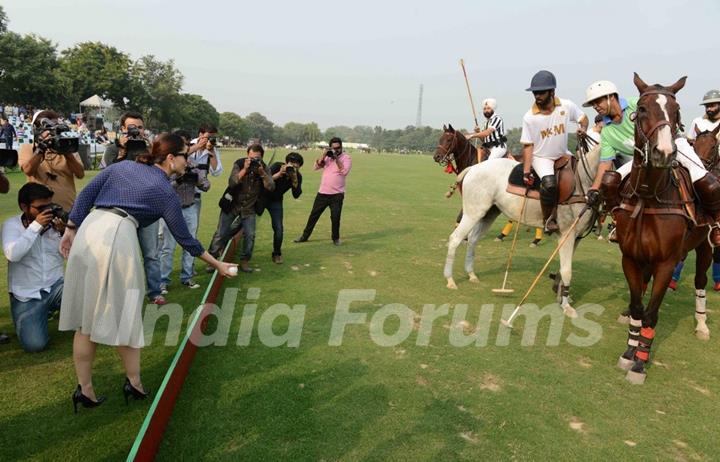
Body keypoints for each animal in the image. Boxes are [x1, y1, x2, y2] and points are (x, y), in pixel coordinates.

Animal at [436, 130, 600, 318]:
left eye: (448, 139)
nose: (437, 156)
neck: (583, 181)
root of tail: (474, 168)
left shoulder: (575, 236)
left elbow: (564, 268)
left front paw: (563, 298)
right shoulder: (567, 233)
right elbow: (567, 270)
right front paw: (566, 306)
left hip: (488, 212)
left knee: (472, 239)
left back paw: (471, 274)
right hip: (474, 211)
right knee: (455, 238)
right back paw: (450, 280)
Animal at [612, 73, 716, 382]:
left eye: (677, 111)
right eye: (642, 109)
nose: (665, 153)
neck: (648, 197)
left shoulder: (666, 262)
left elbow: (651, 313)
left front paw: (640, 362)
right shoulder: (630, 257)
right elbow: (638, 307)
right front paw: (629, 351)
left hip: (705, 247)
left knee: (701, 281)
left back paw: (702, 325)